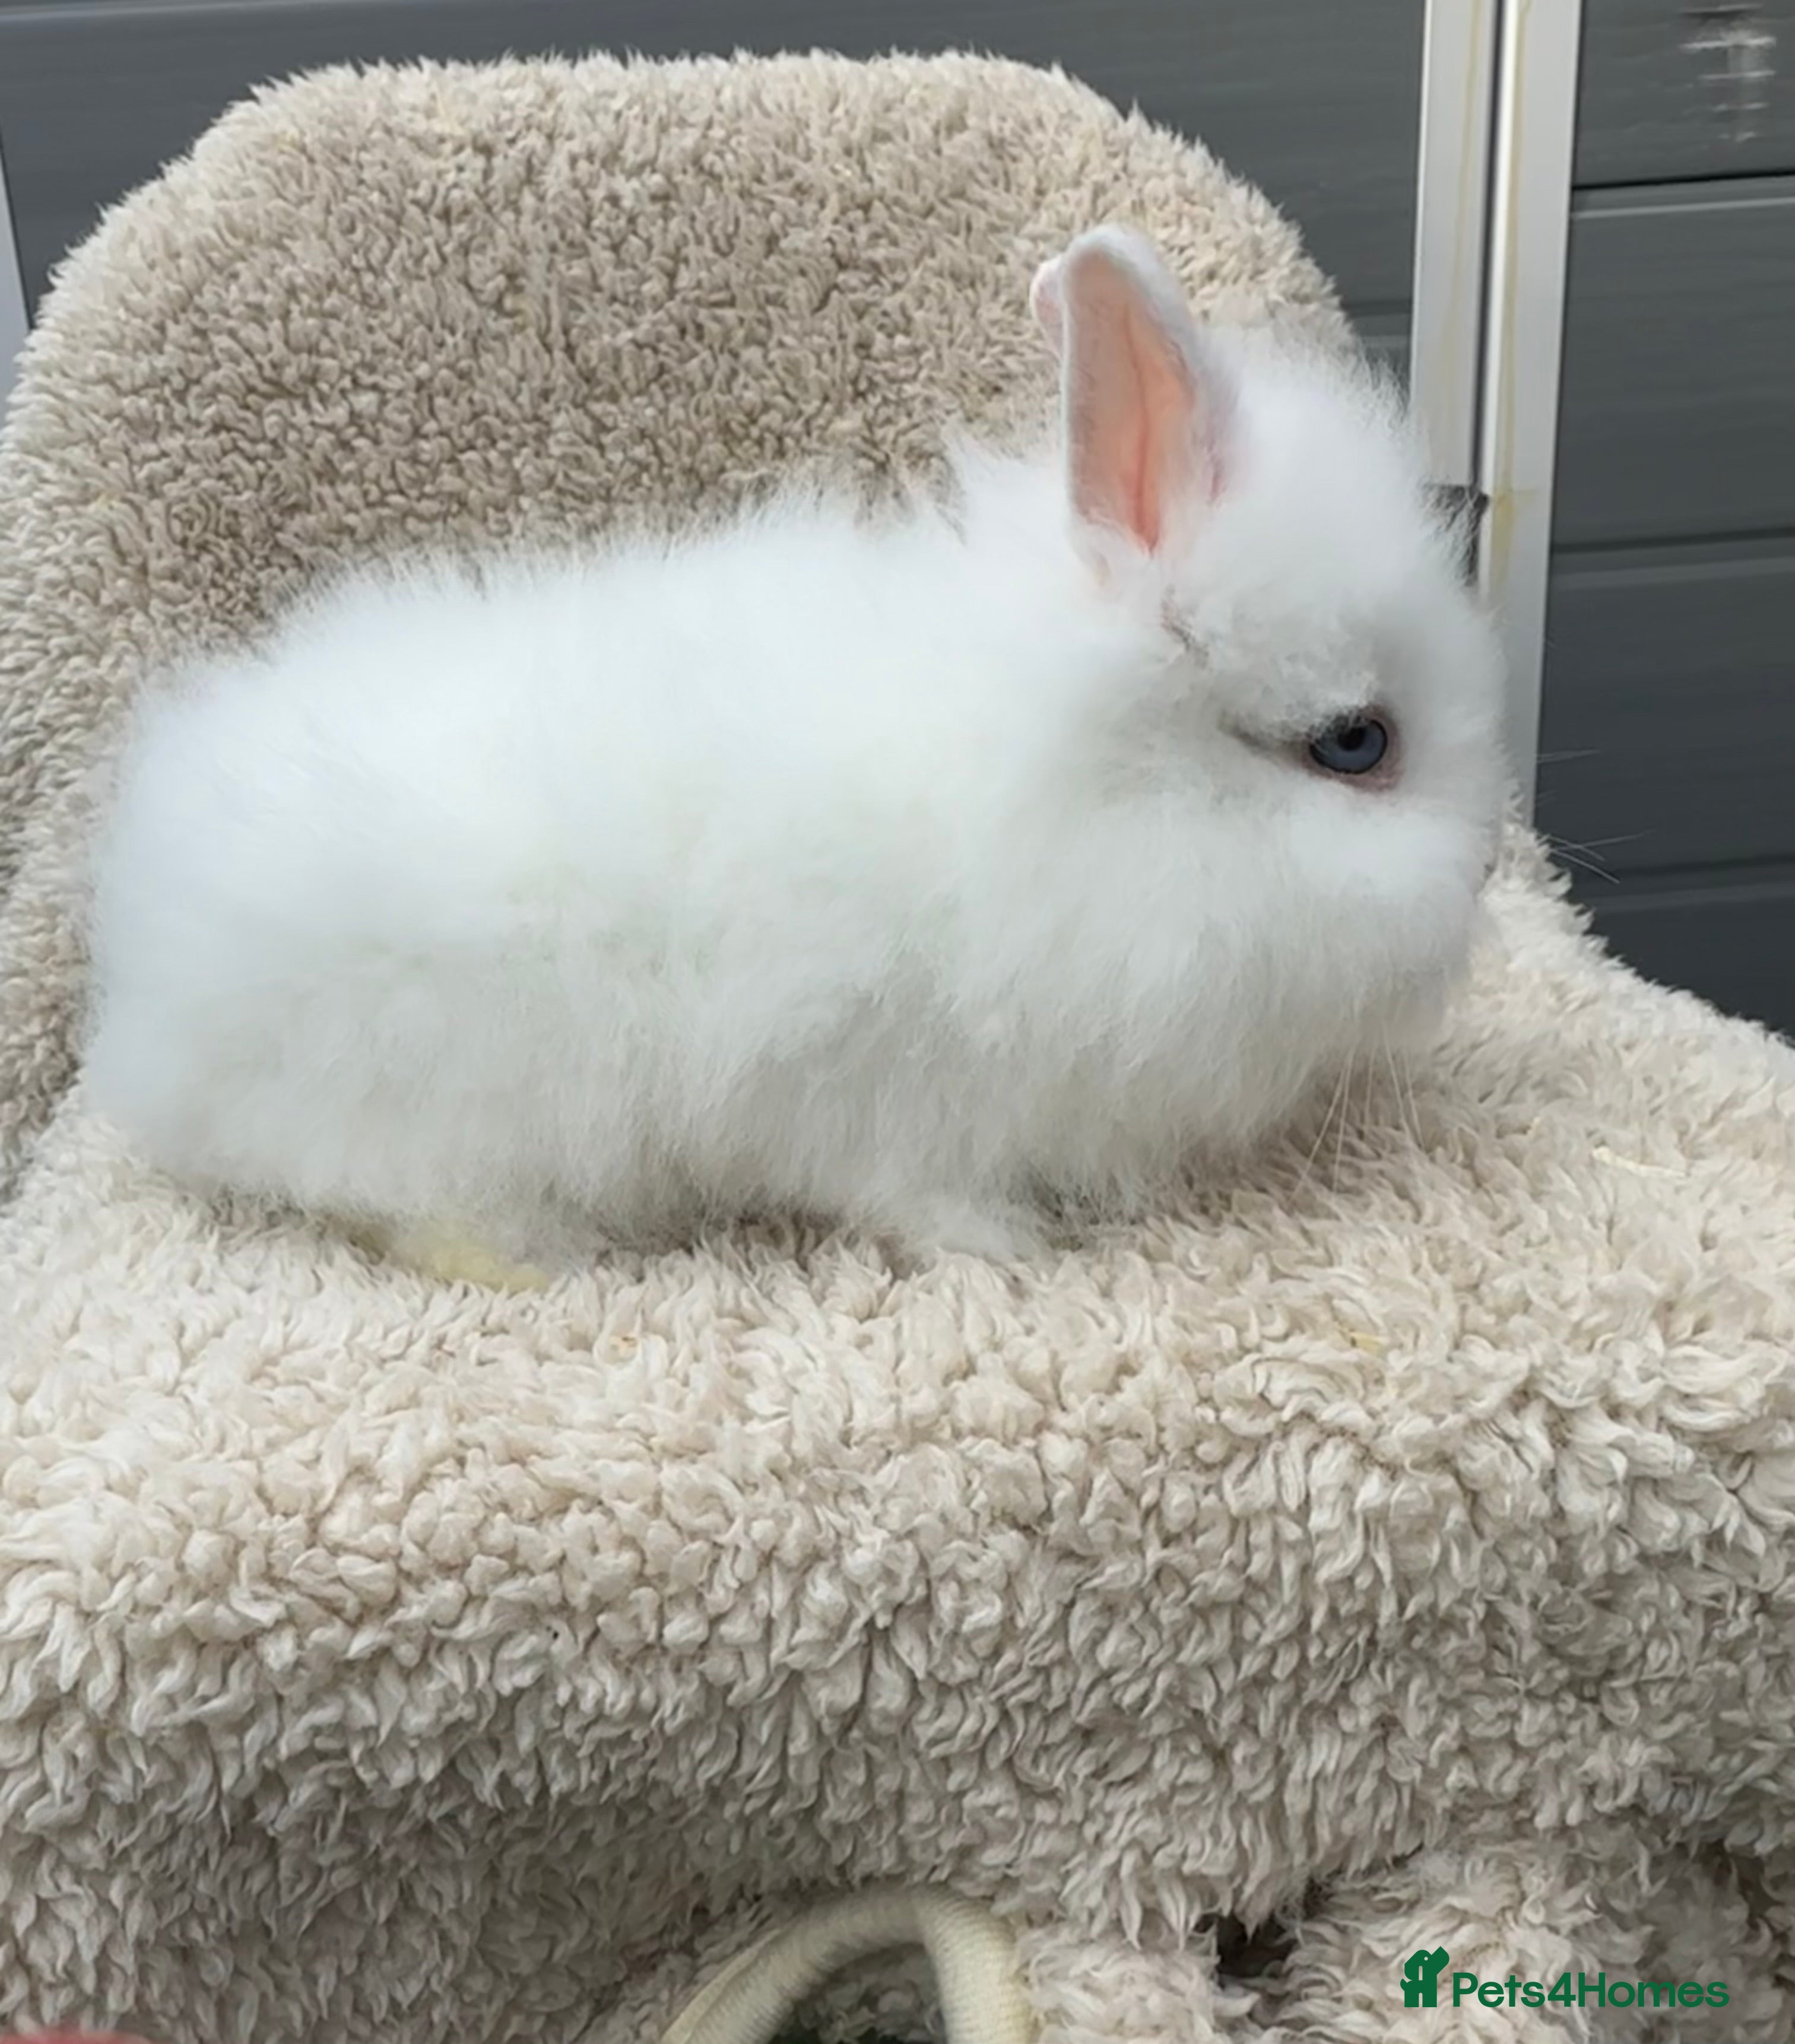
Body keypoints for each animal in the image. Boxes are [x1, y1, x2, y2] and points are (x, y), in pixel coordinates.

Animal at [81, 225, 1509, 1284]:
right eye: (1355, 743)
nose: (1491, 869)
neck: (1081, 789)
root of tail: (149, 970)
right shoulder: (889, 1083)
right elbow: (917, 1192)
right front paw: (1006, 1248)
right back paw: (534, 1260)